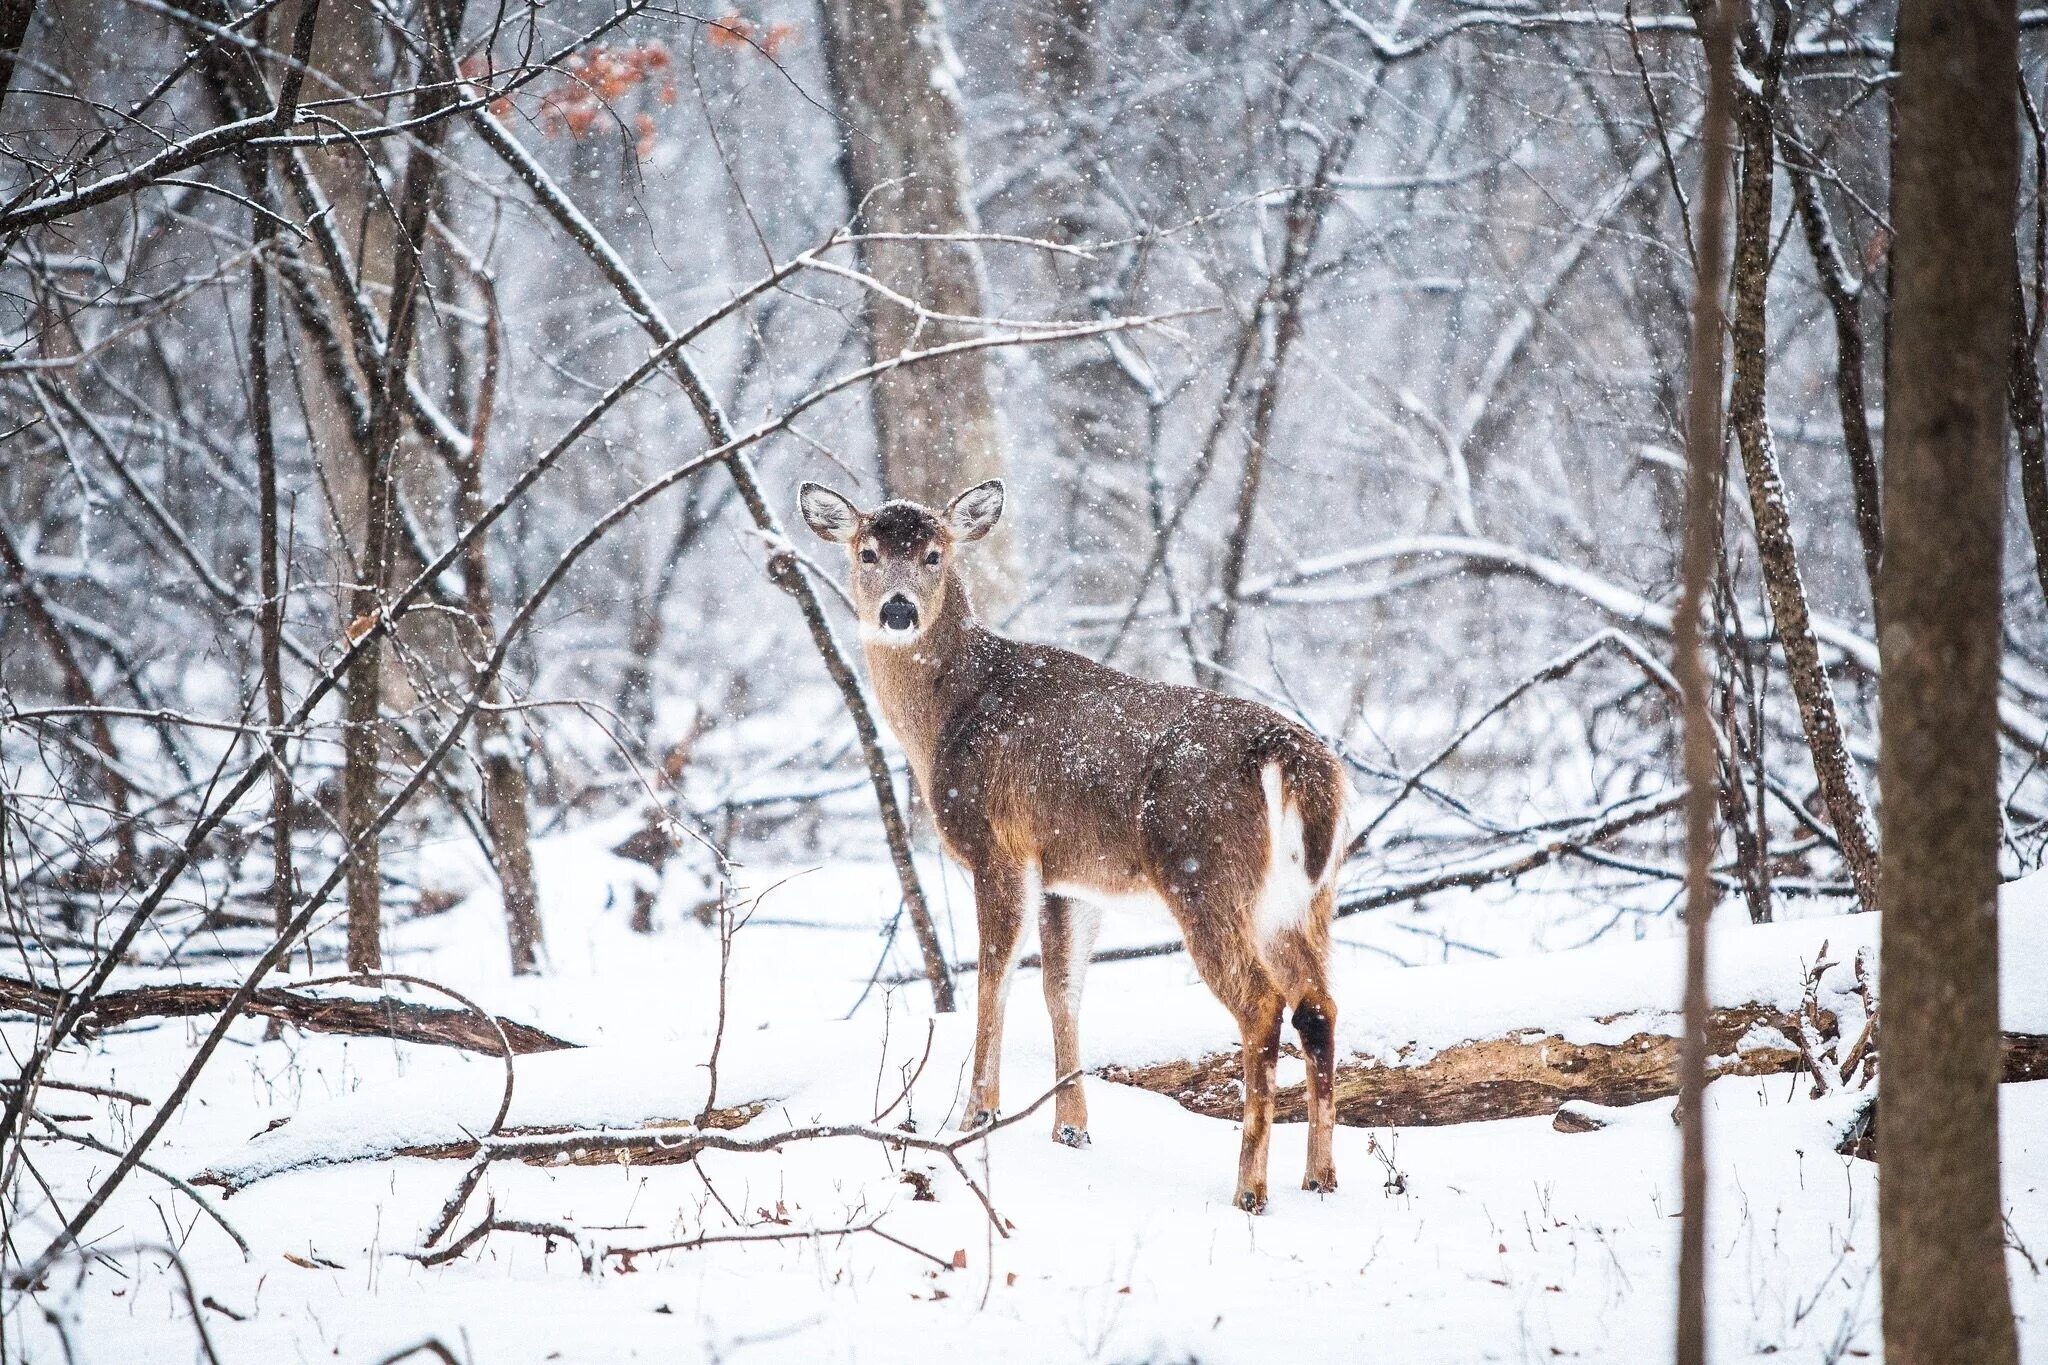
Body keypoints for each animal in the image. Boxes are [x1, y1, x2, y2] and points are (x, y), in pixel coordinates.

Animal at [798, 482, 1343, 1219]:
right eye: (867, 551)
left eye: (935, 553)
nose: (898, 609)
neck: (947, 717)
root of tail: (1293, 758)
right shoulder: (1069, 878)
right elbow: (1063, 989)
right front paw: (1072, 1127)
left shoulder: (998, 846)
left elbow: (993, 979)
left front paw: (977, 1115)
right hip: (1306, 896)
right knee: (1318, 1004)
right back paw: (1321, 1177)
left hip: (1205, 874)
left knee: (1263, 1005)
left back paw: (1249, 1188)